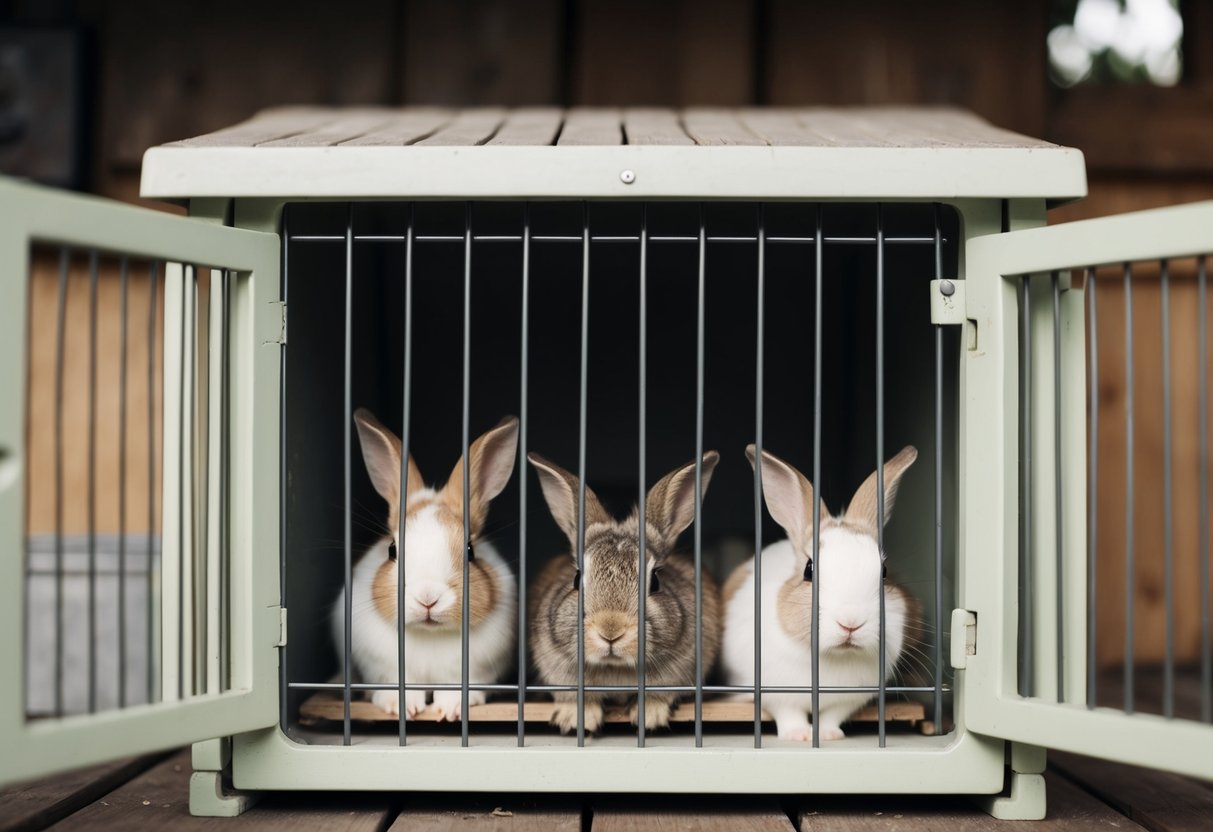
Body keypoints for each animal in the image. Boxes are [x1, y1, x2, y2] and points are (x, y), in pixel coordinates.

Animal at [331, 408, 519, 721]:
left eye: (470, 552)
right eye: (392, 550)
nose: (427, 598)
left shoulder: (477, 672)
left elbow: (462, 690)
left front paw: (451, 709)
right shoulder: (382, 669)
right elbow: (393, 688)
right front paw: (401, 707)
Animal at [721, 444, 922, 741]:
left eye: (884, 572)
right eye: (809, 570)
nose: (851, 623)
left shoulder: (848, 700)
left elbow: (832, 715)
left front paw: (829, 735)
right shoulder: (777, 694)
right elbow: (788, 714)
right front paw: (799, 736)